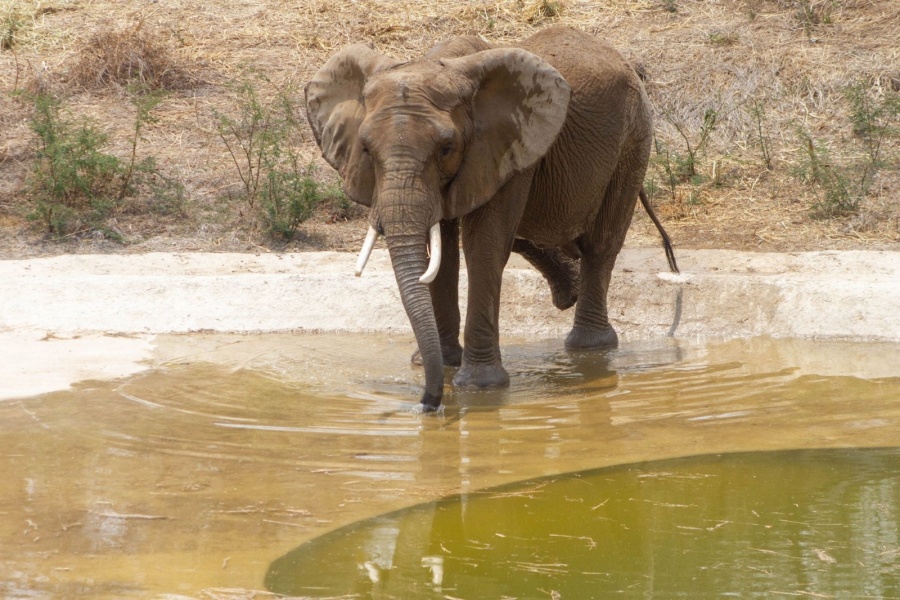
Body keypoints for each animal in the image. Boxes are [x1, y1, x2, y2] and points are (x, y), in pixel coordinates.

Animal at [306, 28, 680, 412]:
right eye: (366, 149)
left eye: (446, 148)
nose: (428, 405)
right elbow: (442, 252)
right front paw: (439, 363)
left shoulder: (506, 147)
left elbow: (483, 246)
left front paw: (478, 387)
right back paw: (570, 294)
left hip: (634, 139)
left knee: (601, 244)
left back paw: (588, 347)